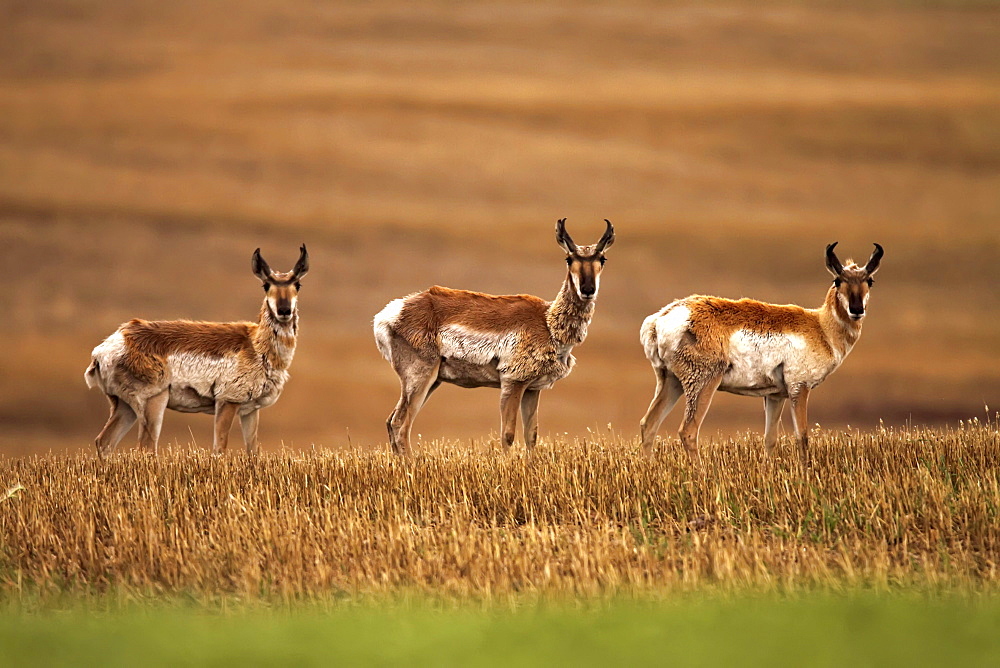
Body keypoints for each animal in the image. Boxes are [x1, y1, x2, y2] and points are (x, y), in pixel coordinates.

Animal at [84, 245, 306, 460]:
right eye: (266, 285)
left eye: (297, 285)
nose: (284, 310)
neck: (256, 345)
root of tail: (110, 344)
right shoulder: (227, 402)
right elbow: (219, 450)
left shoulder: (250, 410)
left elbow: (253, 452)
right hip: (153, 402)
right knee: (145, 448)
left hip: (125, 406)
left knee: (104, 442)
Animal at [374, 219, 612, 454]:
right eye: (569, 258)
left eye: (602, 258)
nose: (587, 289)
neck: (548, 322)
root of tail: (391, 312)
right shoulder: (512, 382)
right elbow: (507, 435)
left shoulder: (532, 389)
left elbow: (531, 436)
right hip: (420, 378)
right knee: (400, 424)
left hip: (432, 381)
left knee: (390, 422)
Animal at [640, 241, 884, 464]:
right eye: (838, 280)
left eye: (869, 281)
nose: (857, 309)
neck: (820, 326)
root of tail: (661, 318)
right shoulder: (799, 388)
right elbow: (802, 437)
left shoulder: (774, 396)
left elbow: (770, 439)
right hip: (703, 383)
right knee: (688, 430)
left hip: (671, 382)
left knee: (648, 424)